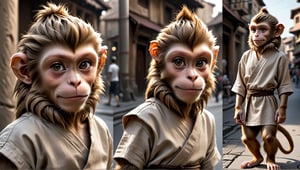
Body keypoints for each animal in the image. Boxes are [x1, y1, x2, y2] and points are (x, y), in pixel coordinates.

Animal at [232, 7, 292, 169]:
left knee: (269, 137)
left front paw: (282, 113)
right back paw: (256, 159)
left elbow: (283, 88)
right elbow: (241, 87)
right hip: (247, 122)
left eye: (263, 29)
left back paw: (270, 161)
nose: (256, 35)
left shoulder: (283, 60)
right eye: (254, 29)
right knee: (247, 137)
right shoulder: (243, 59)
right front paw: (237, 111)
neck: (261, 50)